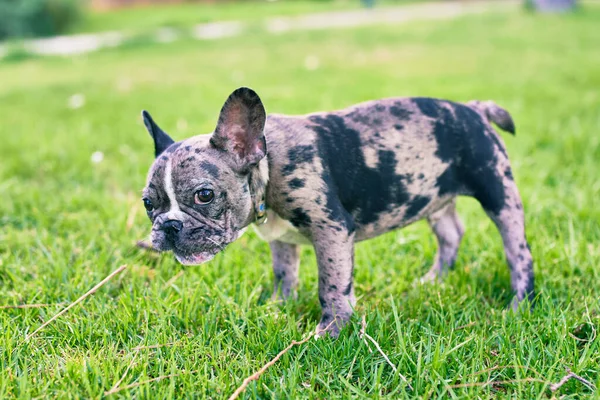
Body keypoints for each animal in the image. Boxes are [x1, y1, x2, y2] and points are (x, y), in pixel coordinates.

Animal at [141, 86, 536, 338]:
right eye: (148, 204)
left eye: (204, 195)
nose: (169, 226)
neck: (268, 165)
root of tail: (474, 109)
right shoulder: (282, 242)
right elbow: (284, 275)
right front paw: (276, 308)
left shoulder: (330, 230)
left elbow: (330, 285)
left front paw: (331, 331)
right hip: (434, 196)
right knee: (451, 233)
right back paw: (433, 280)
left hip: (497, 191)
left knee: (518, 251)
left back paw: (520, 304)